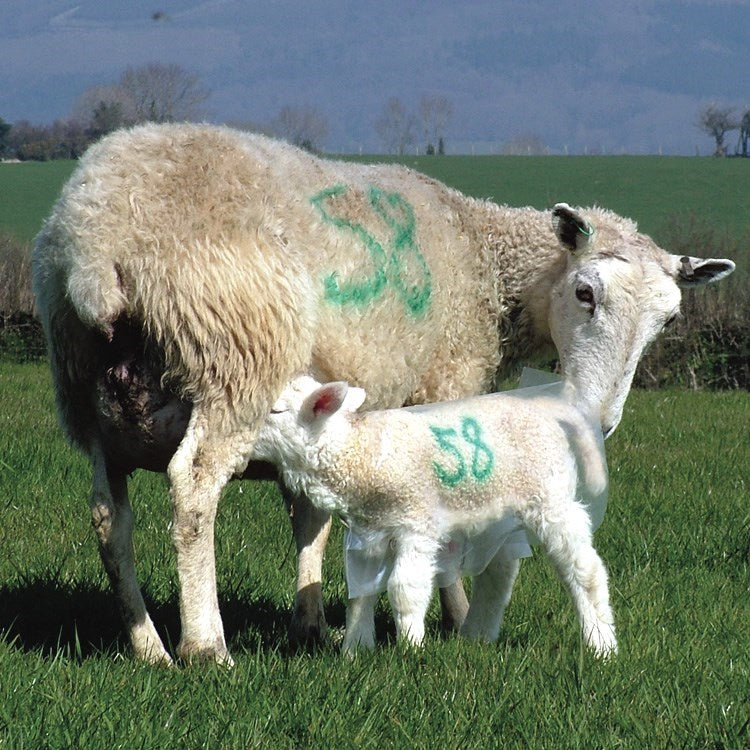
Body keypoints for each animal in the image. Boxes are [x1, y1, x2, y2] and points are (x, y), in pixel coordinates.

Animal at [251, 371, 615, 656]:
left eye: (275, 410)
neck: (363, 453)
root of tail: (551, 410)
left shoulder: (416, 523)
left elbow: (404, 587)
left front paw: (411, 648)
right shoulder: (367, 533)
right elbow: (361, 594)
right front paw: (355, 651)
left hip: (551, 498)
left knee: (585, 569)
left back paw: (601, 644)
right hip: (494, 509)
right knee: (500, 571)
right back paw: (478, 635)